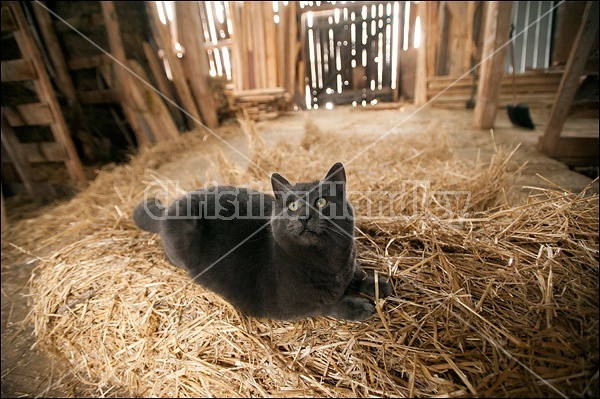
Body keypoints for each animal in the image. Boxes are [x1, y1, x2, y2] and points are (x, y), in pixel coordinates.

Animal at [133, 162, 392, 322]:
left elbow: (357, 273)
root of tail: (169, 207)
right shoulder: (293, 305)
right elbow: (329, 304)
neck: (328, 260)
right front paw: (358, 306)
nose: (304, 216)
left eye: (321, 202)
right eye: (293, 206)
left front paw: (378, 284)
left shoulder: (348, 261)